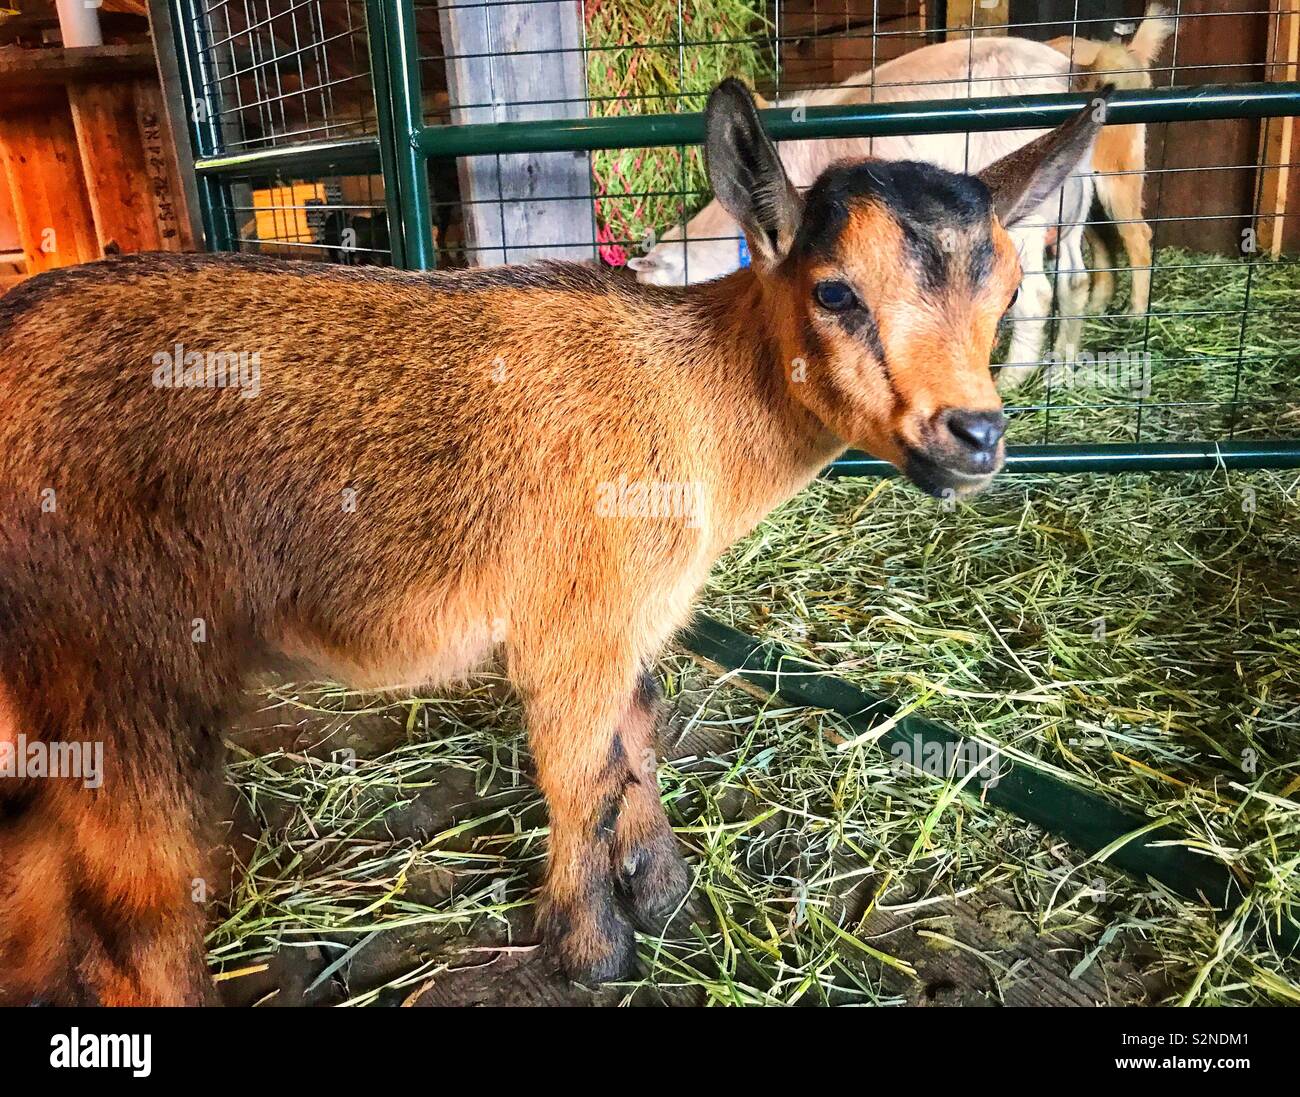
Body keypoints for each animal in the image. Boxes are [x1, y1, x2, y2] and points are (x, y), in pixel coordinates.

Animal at [0, 79, 1103, 1003]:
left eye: (1008, 288)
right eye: (834, 290)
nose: (973, 434)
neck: (695, 398)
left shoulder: (636, 616)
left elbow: (639, 735)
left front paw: (662, 890)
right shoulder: (572, 625)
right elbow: (585, 779)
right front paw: (592, 948)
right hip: (118, 665)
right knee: (138, 916)